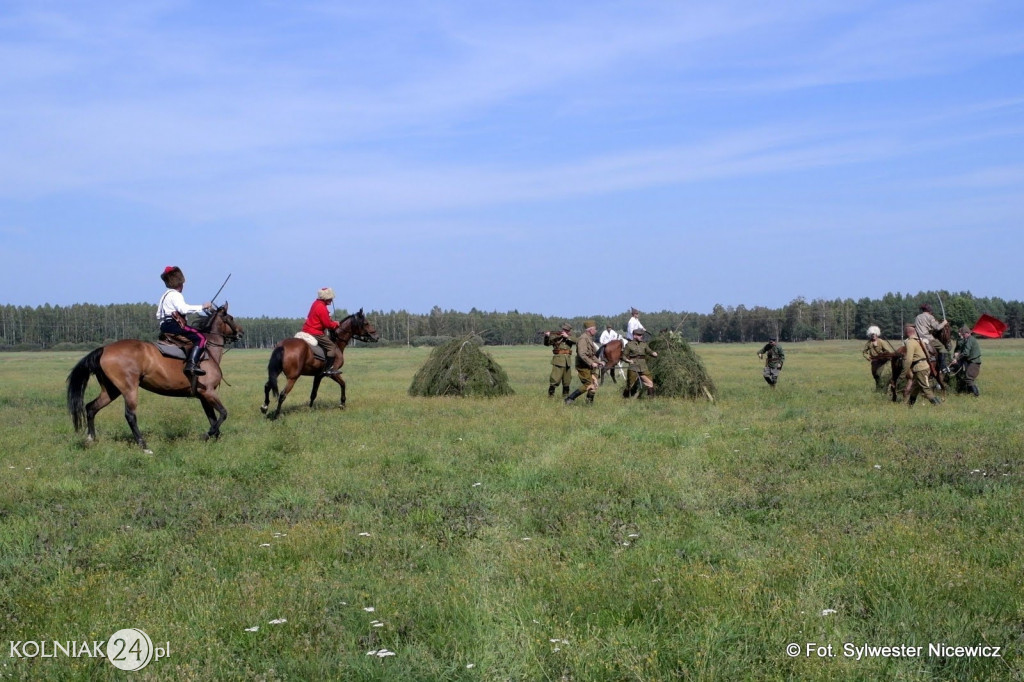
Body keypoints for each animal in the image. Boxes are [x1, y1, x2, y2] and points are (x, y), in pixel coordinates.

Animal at [67, 303, 243, 450]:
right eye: (231, 318)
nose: (241, 332)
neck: (208, 352)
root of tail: (104, 349)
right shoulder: (209, 392)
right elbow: (223, 414)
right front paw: (207, 435)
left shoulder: (203, 396)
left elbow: (213, 418)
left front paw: (215, 439)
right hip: (129, 389)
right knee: (130, 415)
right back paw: (144, 446)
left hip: (110, 390)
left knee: (91, 408)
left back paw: (90, 439)